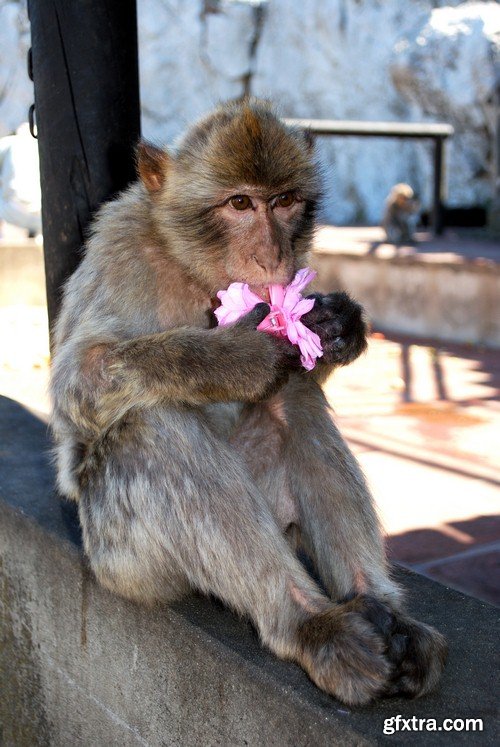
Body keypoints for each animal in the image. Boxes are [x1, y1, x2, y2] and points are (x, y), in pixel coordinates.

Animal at [50, 101, 448, 708]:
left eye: (283, 201)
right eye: (240, 204)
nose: (273, 254)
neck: (195, 269)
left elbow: (302, 370)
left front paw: (338, 326)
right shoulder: (118, 246)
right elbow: (77, 384)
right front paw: (235, 356)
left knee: (295, 401)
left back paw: (381, 612)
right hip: (123, 559)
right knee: (148, 426)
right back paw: (308, 625)